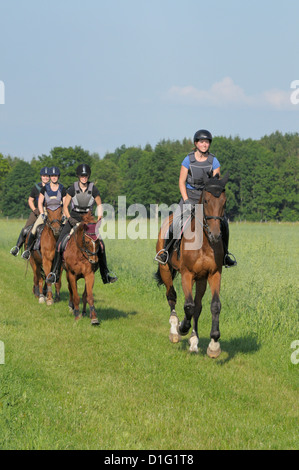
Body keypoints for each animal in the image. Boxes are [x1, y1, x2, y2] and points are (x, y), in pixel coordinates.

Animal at [156, 172, 229, 356]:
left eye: (224, 201)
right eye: (206, 201)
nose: (215, 235)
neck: (203, 242)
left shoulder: (214, 274)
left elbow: (214, 305)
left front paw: (214, 344)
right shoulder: (187, 274)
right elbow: (188, 306)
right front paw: (182, 328)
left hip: (201, 279)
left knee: (198, 306)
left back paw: (194, 341)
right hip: (165, 269)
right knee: (171, 295)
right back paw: (175, 331)